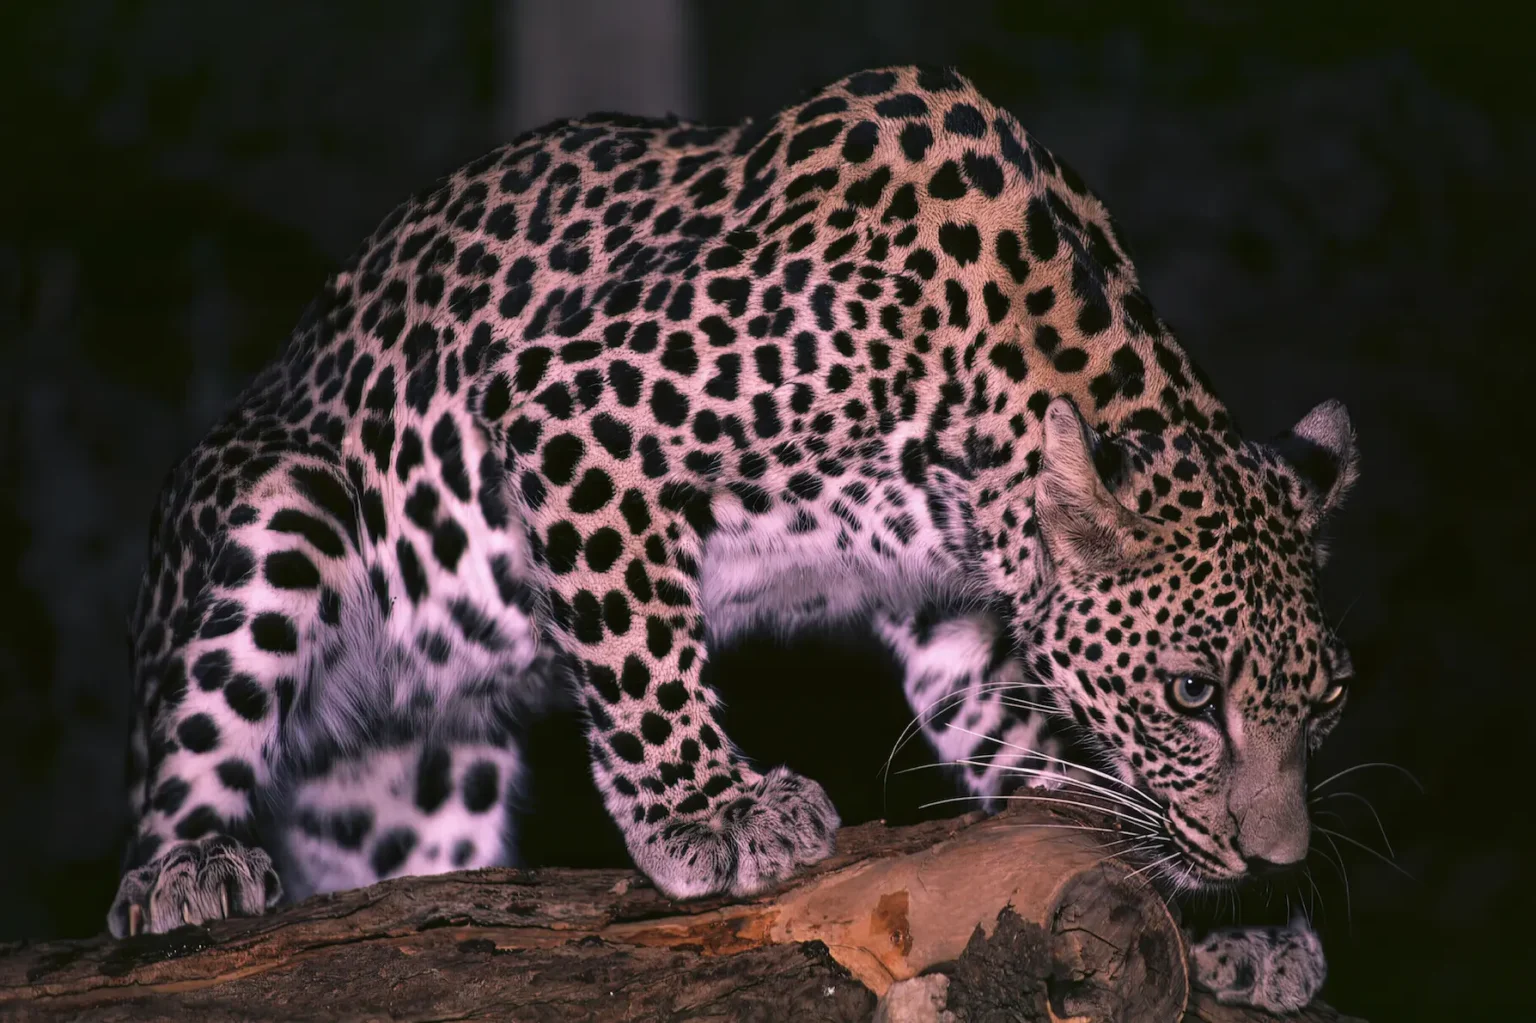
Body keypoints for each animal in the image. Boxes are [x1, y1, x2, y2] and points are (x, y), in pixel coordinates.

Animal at [109, 65, 1359, 1014]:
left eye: (1330, 701)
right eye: (1192, 691)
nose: (1279, 862)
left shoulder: (953, 618)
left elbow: (1050, 760)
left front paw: (1229, 922)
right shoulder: (576, 404)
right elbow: (638, 641)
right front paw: (711, 809)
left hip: (426, 787)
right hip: (289, 499)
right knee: (167, 795)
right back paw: (190, 868)